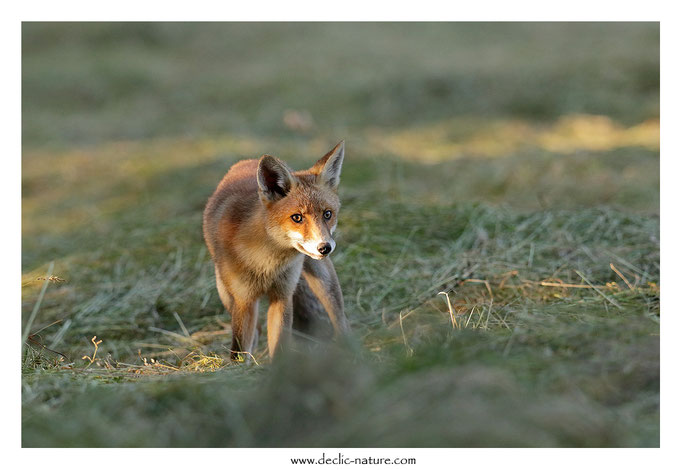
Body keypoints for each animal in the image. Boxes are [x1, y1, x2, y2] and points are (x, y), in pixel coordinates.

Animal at [202, 140, 348, 360]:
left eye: (327, 214)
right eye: (297, 217)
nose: (325, 247)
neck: (267, 263)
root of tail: (247, 161)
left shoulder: (283, 295)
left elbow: (279, 344)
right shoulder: (244, 299)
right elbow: (239, 347)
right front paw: (238, 367)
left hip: (322, 278)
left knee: (340, 318)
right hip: (225, 293)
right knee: (254, 330)